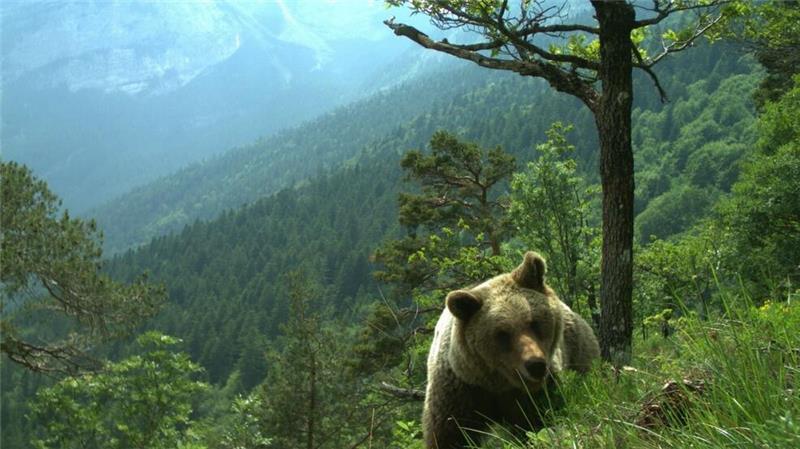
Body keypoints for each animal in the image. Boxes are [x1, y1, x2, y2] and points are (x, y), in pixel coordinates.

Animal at [422, 251, 600, 449]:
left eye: (533, 322)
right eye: (502, 334)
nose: (536, 365)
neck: (498, 383)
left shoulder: (535, 393)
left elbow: (538, 423)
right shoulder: (460, 391)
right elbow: (450, 434)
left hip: (578, 350)